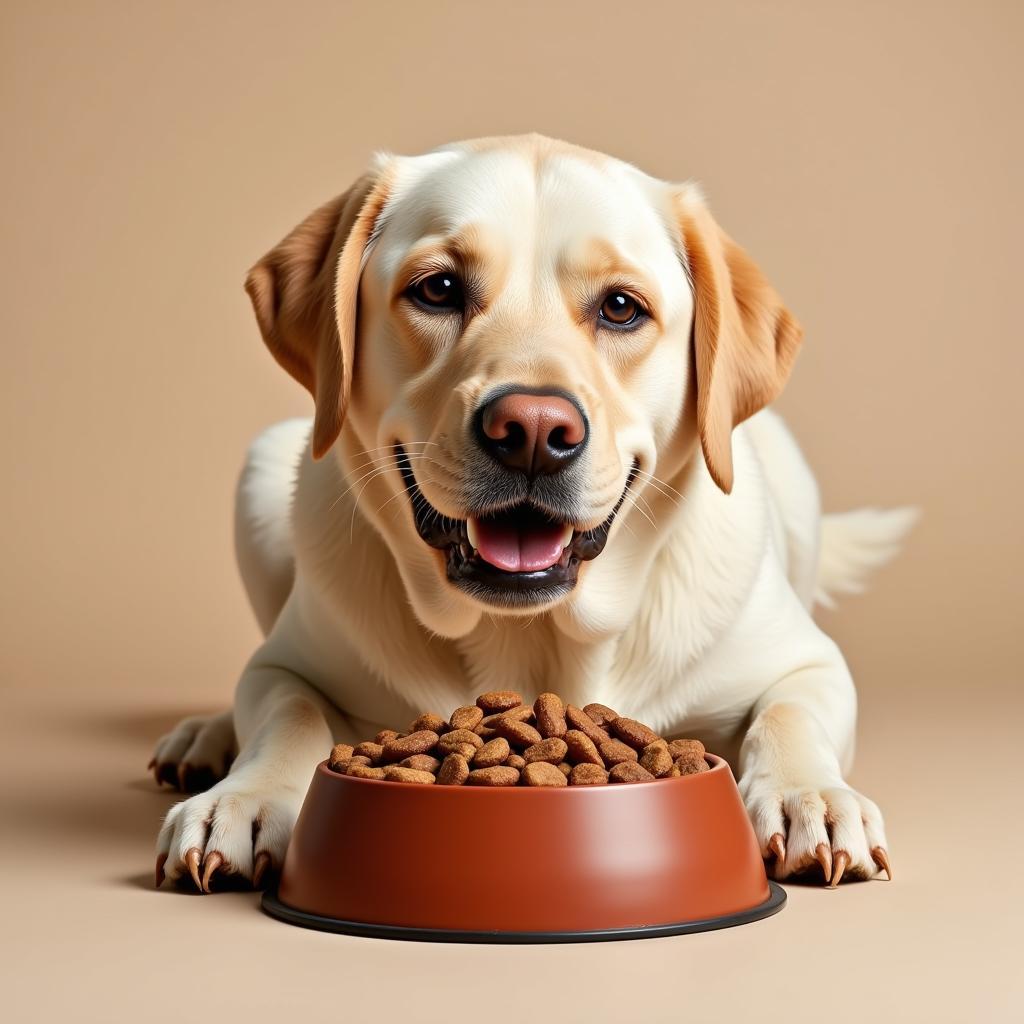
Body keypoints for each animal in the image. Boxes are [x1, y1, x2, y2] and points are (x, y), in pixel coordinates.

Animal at [149, 134, 913, 888]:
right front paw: (244, 796)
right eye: (438, 289)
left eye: (621, 307)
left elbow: (787, 714)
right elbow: (288, 712)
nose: (534, 433)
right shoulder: (286, 665)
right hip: (261, 472)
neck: (533, 636)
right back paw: (202, 736)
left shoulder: (809, 664)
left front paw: (807, 794)